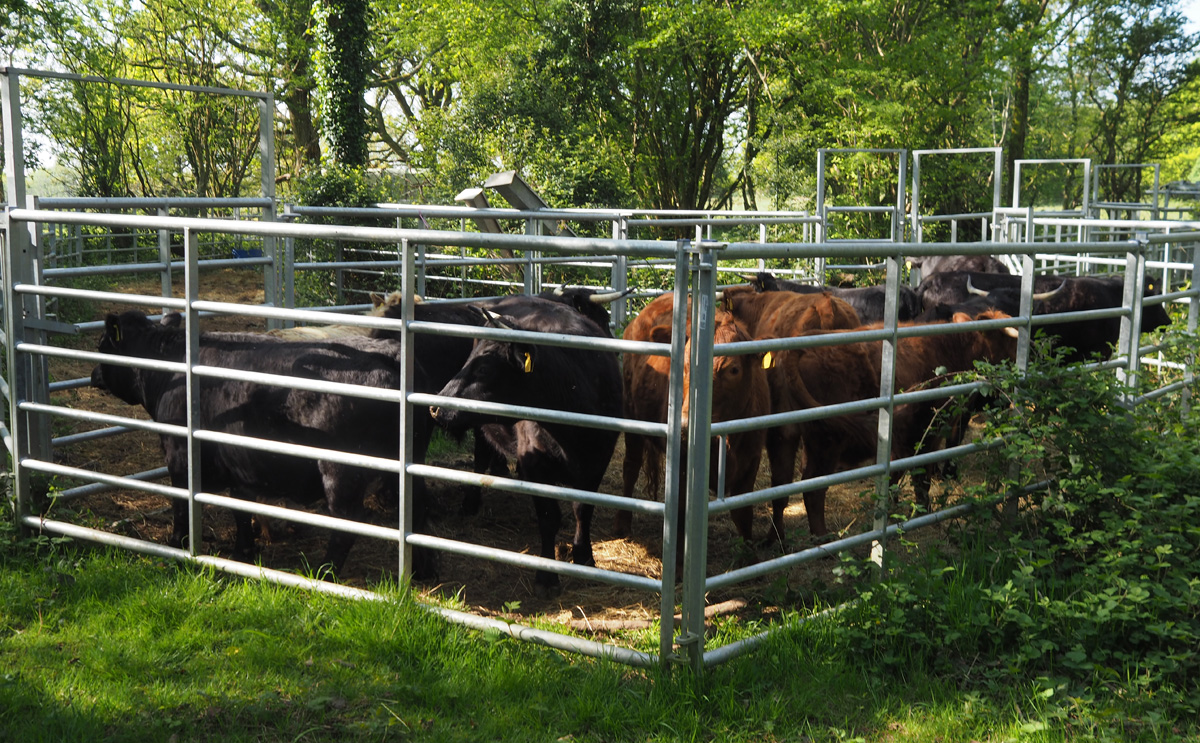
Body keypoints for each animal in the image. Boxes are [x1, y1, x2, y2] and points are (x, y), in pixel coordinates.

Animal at [90, 310, 436, 577]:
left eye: (102, 345)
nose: (92, 374)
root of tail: (390, 352)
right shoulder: (241, 468)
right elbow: (242, 510)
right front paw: (242, 551)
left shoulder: (180, 458)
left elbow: (181, 505)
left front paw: (177, 543)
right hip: (411, 462)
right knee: (418, 508)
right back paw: (421, 570)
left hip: (340, 470)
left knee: (347, 521)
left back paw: (322, 572)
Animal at [429, 296, 622, 595]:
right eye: (469, 360)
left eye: (484, 368)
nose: (436, 406)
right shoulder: (536, 464)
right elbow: (548, 517)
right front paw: (547, 576)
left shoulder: (598, 459)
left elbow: (583, 509)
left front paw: (584, 555)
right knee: (480, 458)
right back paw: (470, 502)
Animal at [619, 293, 771, 557]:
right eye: (684, 365)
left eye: (734, 369)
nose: (684, 425)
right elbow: (680, 514)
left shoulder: (751, 460)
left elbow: (743, 513)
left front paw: (749, 556)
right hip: (632, 419)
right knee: (630, 467)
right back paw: (624, 525)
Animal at [772, 309, 1021, 536]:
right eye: (1010, 343)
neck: (951, 348)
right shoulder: (926, 433)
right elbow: (920, 477)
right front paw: (924, 514)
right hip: (826, 442)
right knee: (813, 490)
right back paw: (824, 540)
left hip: (790, 437)